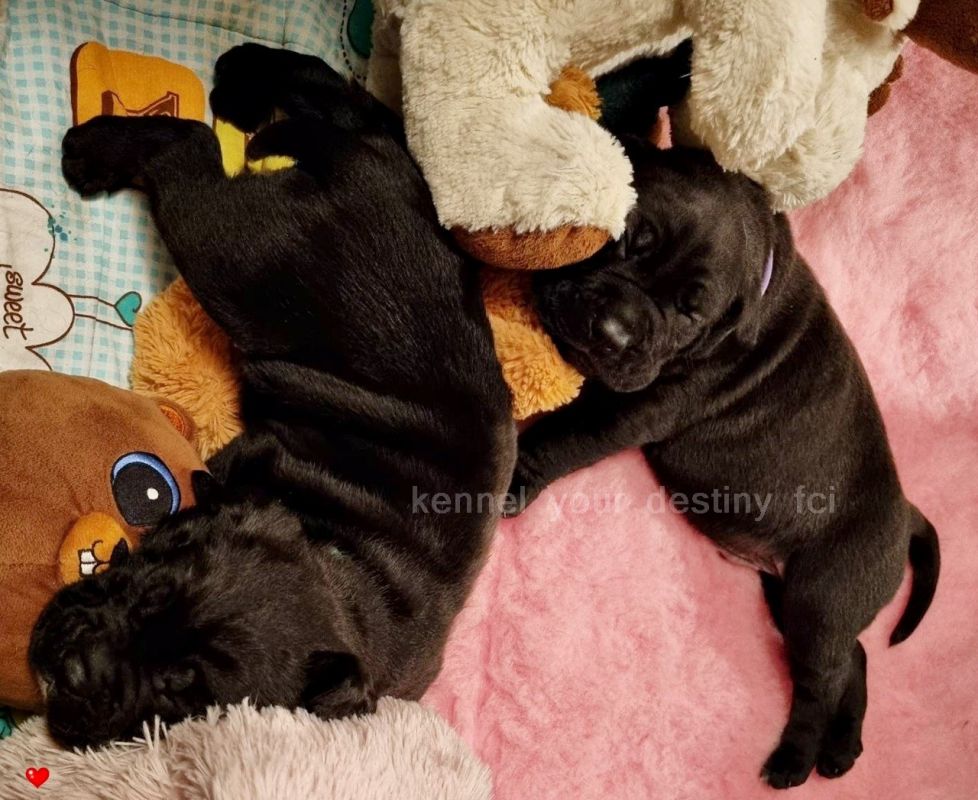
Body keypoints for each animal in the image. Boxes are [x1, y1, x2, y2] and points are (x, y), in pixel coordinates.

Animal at [29, 43, 516, 749]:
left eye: (183, 691)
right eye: (145, 587)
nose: (74, 671)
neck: (344, 566)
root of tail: (378, 169)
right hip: (243, 250)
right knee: (197, 142)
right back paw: (110, 141)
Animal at [506, 142, 940, 789]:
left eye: (691, 314)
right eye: (628, 239)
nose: (613, 332)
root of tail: (906, 513)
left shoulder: (639, 406)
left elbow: (564, 435)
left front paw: (514, 476)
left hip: (823, 593)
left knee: (823, 679)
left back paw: (795, 760)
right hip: (797, 598)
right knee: (851, 660)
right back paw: (842, 750)